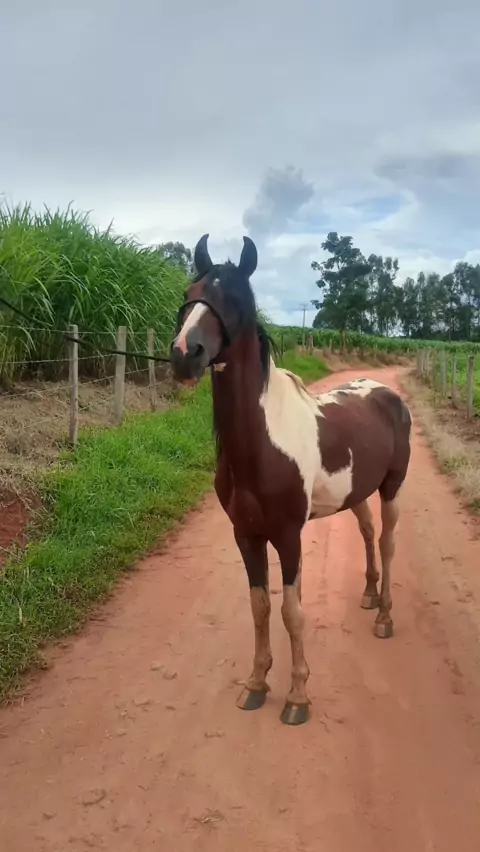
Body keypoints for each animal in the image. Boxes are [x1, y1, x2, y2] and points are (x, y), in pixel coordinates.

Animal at [170, 234, 412, 726]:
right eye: (190, 294)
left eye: (236, 299)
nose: (185, 354)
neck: (261, 445)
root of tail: (387, 393)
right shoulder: (246, 535)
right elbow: (260, 607)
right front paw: (256, 684)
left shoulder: (288, 536)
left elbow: (292, 611)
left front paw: (298, 696)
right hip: (357, 493)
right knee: (367, 532)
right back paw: (369, 595)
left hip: (392, 487)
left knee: (387, 542)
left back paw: (384, 617)